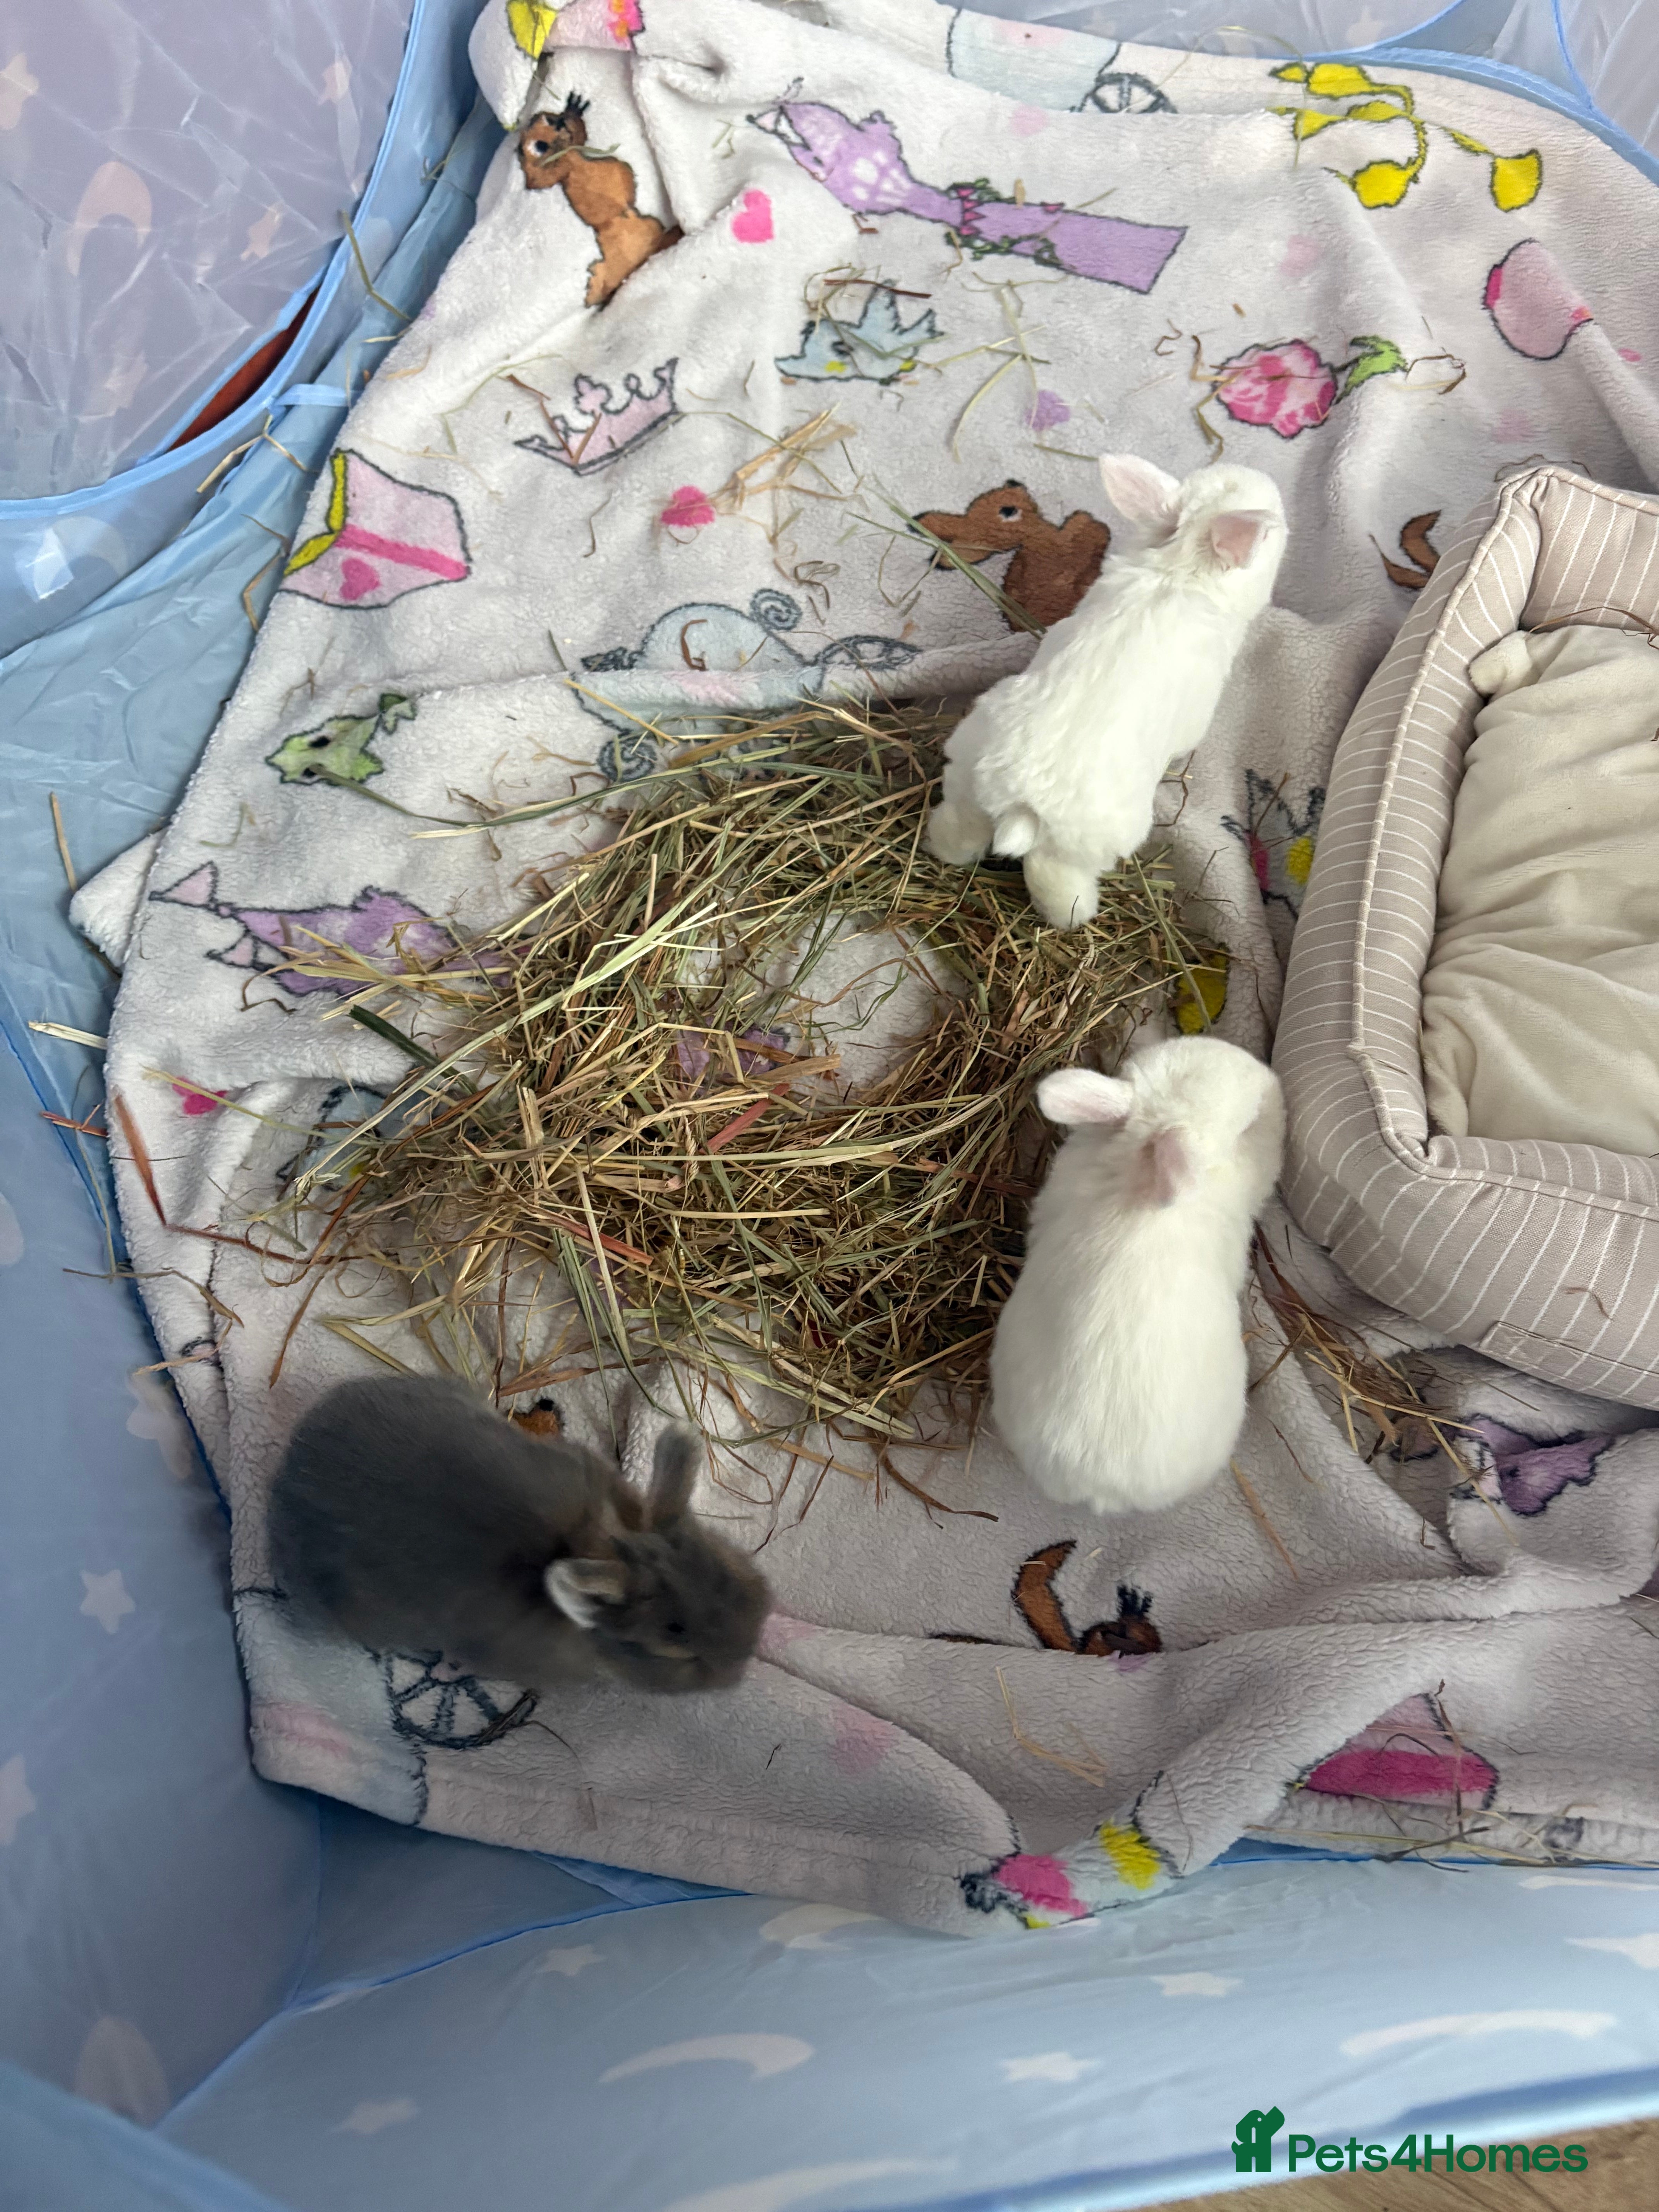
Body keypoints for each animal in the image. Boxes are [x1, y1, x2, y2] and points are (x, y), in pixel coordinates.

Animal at [926, 454, 1288, 930]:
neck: (1180, 569)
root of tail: (1021, 803)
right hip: (1088, 845)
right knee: (1055, 881)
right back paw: (1078, 919)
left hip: (967, 783)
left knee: (958, 836)